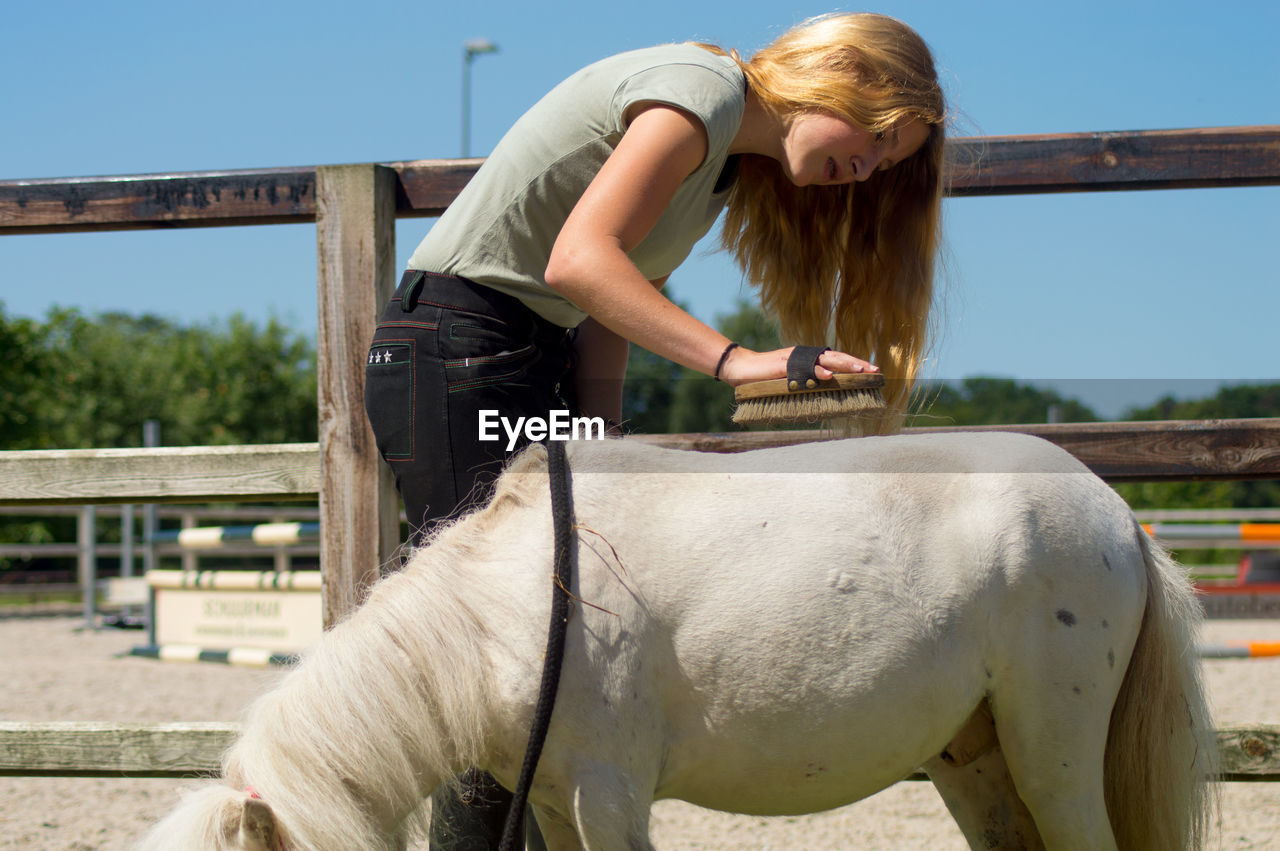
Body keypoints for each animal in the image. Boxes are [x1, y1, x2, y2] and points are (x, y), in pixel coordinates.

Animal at [140, 435, 1218, 844]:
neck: (520, 608)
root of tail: (1118, 515)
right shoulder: (552, 796)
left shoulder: (609, 790)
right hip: (974, 756)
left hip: (1053, 750)